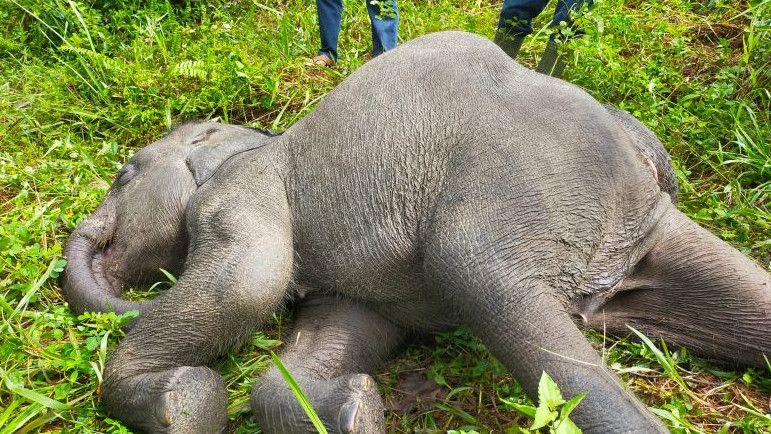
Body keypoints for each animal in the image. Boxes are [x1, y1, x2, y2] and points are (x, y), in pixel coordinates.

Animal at [63, 32, 768, 432]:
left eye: (124, 174)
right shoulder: (353, 290)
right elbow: (334, 339)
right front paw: (350, 411)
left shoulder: (241, 193)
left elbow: (246, 284)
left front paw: (179, 407)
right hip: (646, 225)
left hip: (504, 219)